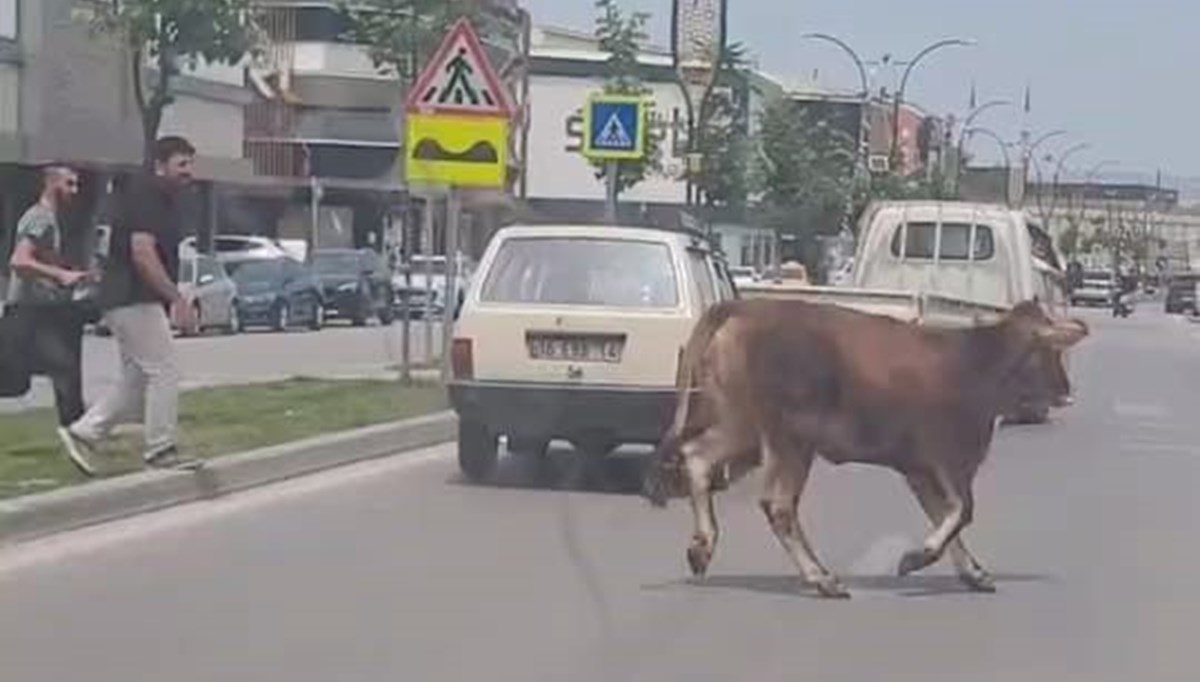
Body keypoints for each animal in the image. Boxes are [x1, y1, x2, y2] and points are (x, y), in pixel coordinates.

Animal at [643, 297, 1094, 595]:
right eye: (1051, 350)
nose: (1066, 390)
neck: (976, 364)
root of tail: (743, 306)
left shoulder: (919, 469)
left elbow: (946, 517)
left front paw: (972, 572)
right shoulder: (948, 459)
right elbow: (962, 512)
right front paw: (917, 557)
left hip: (745, 425)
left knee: (698, 456)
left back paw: (702, 547)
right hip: (790, 438)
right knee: (778, 504)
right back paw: (821, 578)